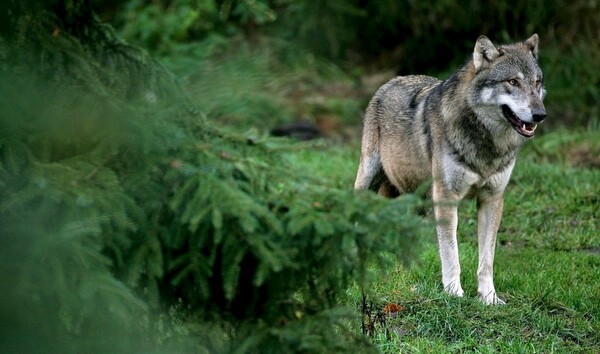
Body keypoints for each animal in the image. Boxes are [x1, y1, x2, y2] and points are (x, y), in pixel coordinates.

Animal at [354, 34, 548, 304]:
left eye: (537, 82)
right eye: (512, 82)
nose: (540, 114)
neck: (486, 145)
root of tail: (392, 80)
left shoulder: (492, 199)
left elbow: (486, 260)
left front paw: (489, 297)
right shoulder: (446, 198)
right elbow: (450, 254)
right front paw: (454, 293)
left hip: (415, 201)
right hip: (369, 180)